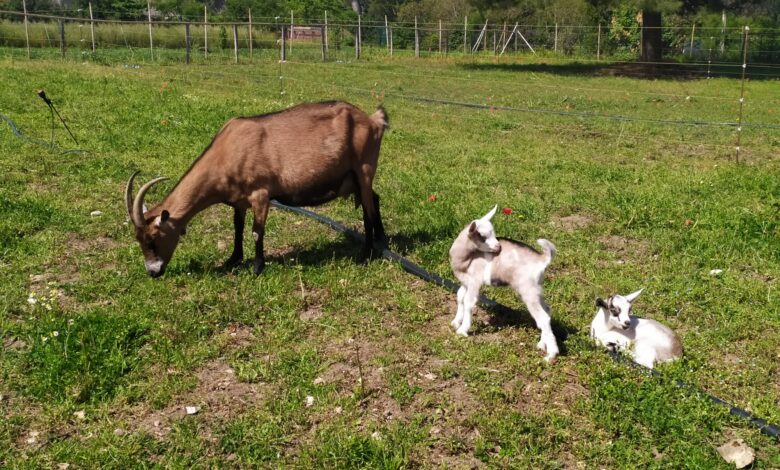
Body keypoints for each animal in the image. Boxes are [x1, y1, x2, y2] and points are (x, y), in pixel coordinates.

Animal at [125, 99, 390, 276]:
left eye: (153, 238)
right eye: (138, 239)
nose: (153, 272)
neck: (226, 152)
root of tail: (373, 120)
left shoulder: (261, 194)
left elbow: (256, 231)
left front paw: (257, 267)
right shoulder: (238, 200)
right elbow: (237, 227)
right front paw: (233, 259)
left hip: (364, 168)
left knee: (368, 207)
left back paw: (367, 253)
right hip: (353, 178)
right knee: (374, 199)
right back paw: (380, 242)